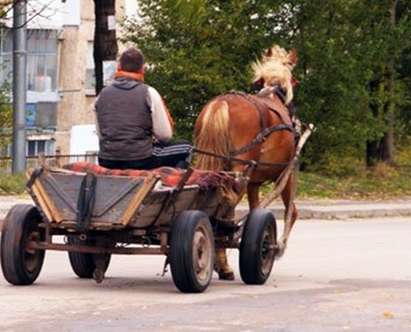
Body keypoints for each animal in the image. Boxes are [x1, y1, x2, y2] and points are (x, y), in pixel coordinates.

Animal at [195, 44, 298, 280]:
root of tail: (221, 103)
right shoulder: (286, 173)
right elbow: (291, 211)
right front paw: (279, 246)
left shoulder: (254, 182)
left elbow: (255, 209)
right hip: (239, 169)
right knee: (227, 204)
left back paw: (222, 263)